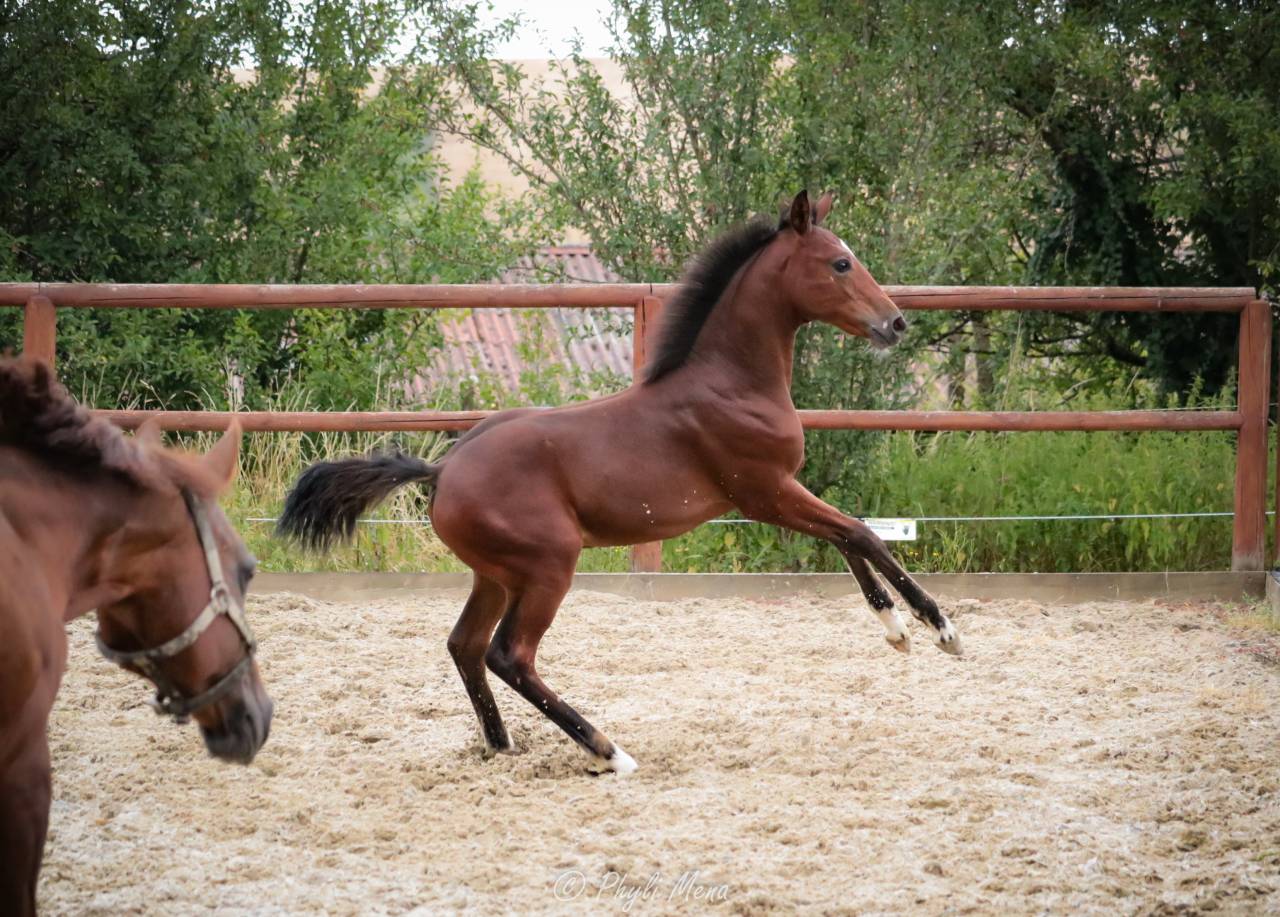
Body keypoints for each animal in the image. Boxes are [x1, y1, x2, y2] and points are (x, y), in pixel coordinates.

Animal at [278, 190, 961, 777]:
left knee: (465, 645)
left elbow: (847, 539)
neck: (731, 384)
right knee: (510, 656)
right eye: (840, 262)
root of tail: (443, 471)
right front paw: (939, 629)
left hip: (496, 574)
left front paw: (895, 629)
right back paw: (609, 751)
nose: (895, 324)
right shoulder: (763, 491)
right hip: (549, 565)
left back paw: (502, 746)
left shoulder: (773, 496)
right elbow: (860, 533)